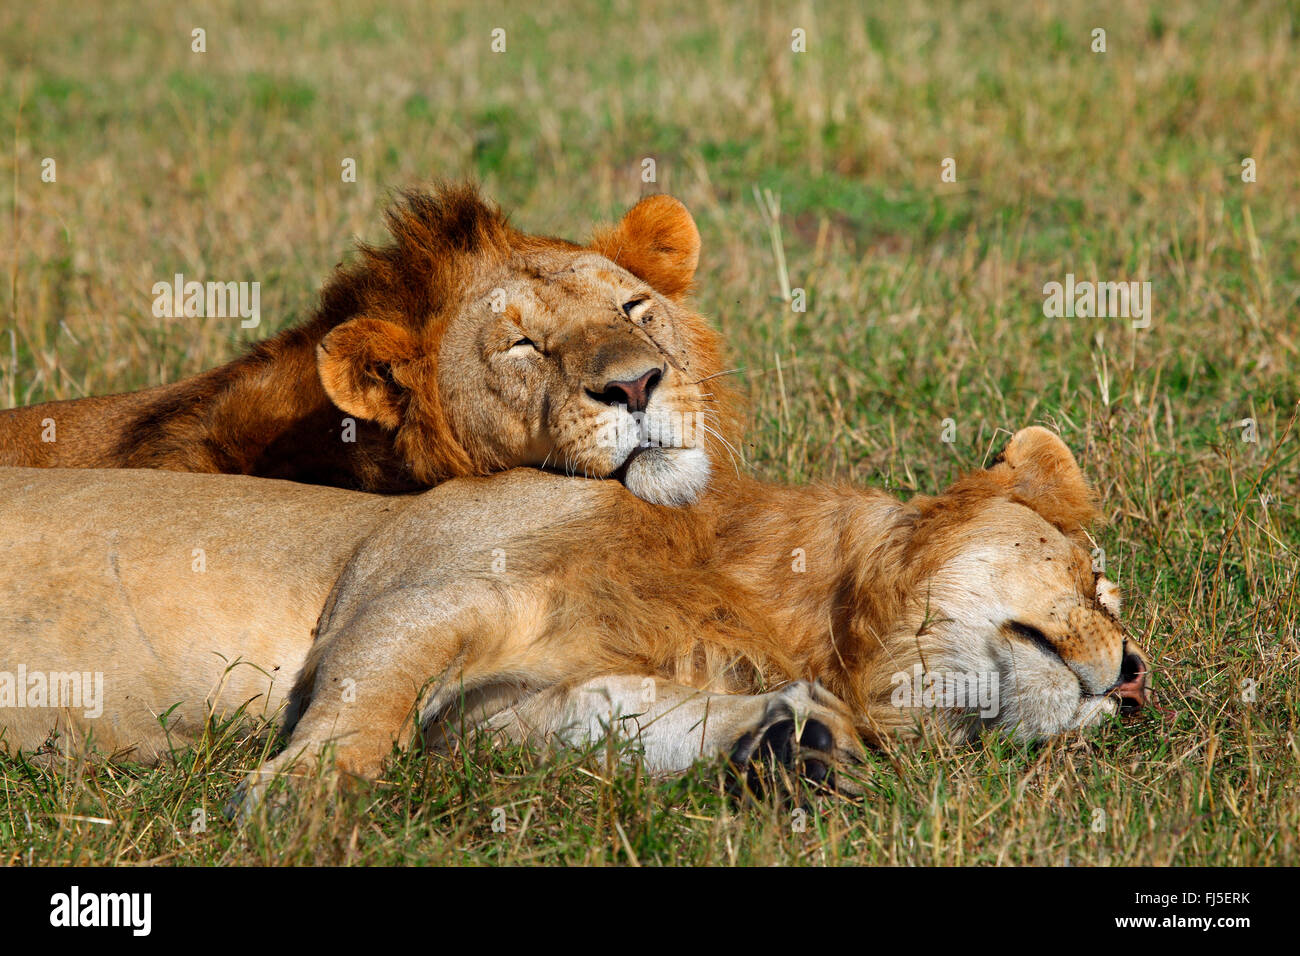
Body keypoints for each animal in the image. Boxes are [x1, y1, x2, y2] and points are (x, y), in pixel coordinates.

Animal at [0, 427, 1149, 800]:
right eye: (1095, 577)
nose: (1136, 678)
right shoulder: (418, 586)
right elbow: (369, 694)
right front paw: (301, 798)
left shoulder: (495, 715)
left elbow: (622, 722)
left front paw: (794, 745)